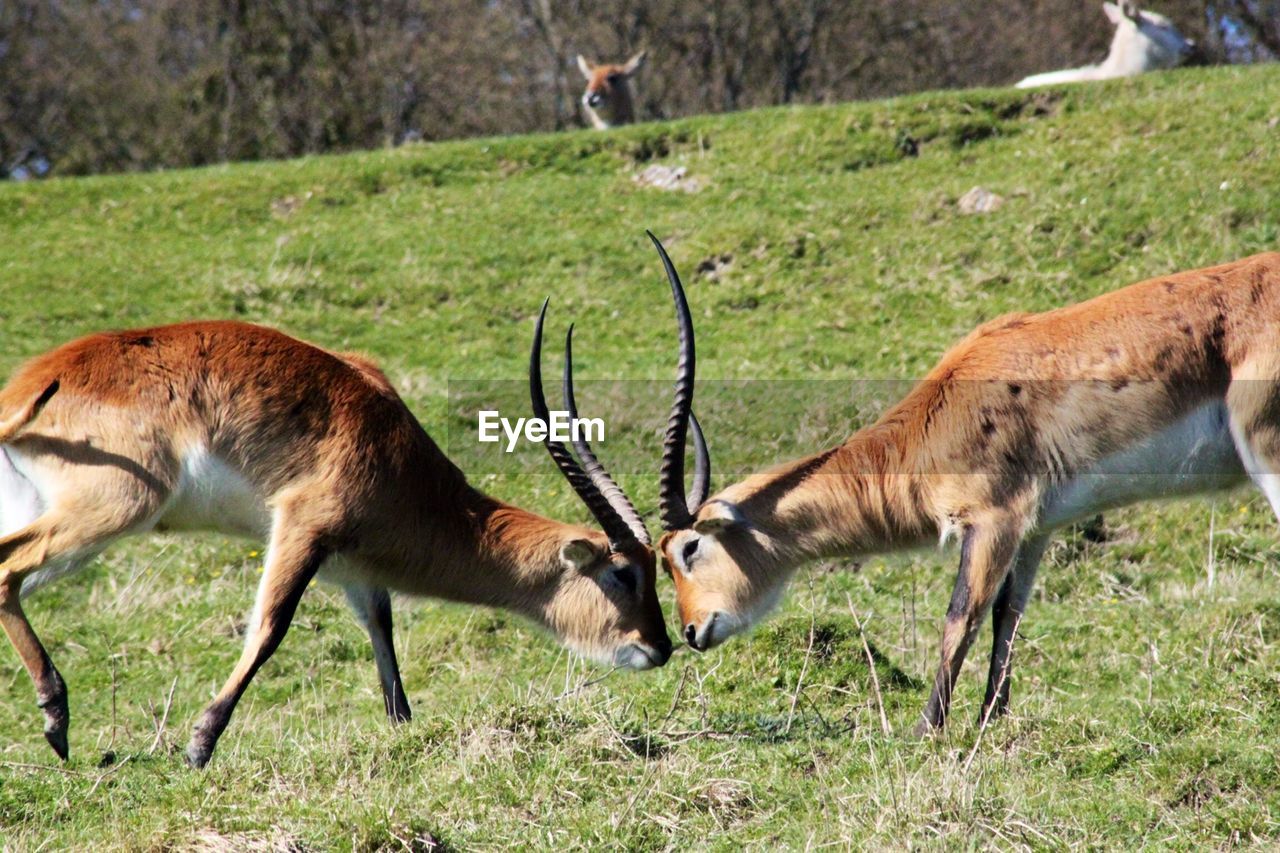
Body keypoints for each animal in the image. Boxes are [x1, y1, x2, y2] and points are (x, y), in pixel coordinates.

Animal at [0, 311, 675, 763]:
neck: (398, 459)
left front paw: (404, 733)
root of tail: (35, 384)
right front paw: (199, 745)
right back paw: (57, 719)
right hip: (116, 506)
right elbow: (269, 631)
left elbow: (385, 644)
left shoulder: (354, 570)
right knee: (8, 569)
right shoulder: (302, 527)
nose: (662, 647)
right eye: (624, 573)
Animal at [645, 230, 1280, 732]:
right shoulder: (1036, 527)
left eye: (689, 548)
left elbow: (960, 615)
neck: (940, 413)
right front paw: (990, 719)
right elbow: (1008, 615)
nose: (691, 631)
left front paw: (927, 728)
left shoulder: (993, 518)